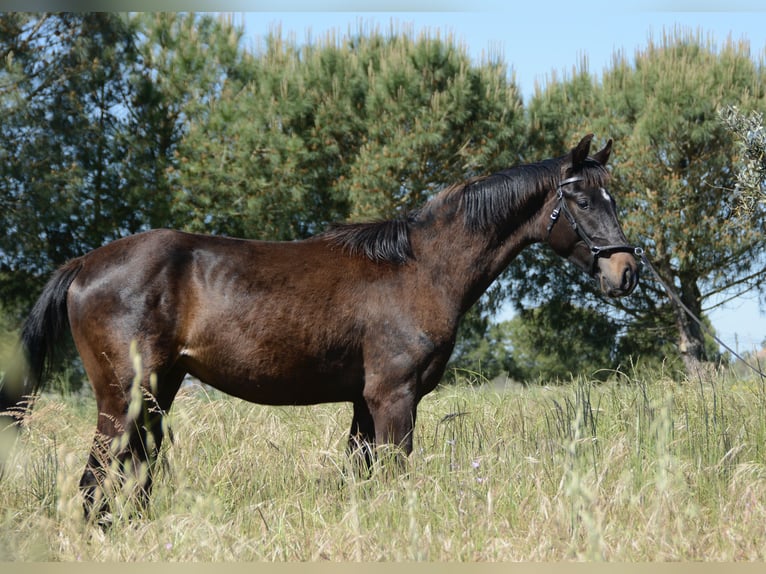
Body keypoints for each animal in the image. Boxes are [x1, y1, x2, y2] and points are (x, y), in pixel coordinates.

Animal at [0, 134, 640, 519]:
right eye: (583, 201)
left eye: (614, 198)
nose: (627, 271)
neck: (421, 267)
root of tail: (85, 264)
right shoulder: (393, 397)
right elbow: (393, 473)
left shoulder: (363, 401)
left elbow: (361, 475)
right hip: (121, 397)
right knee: (94, 478)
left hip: (159, 392)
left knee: (133, 472)